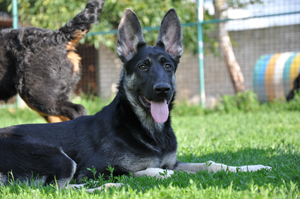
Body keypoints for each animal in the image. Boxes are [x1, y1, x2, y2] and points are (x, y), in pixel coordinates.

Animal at [0, 8, 270, 191]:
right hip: (60, 158)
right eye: (142, 66)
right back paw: (110, 187)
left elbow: (212, 164)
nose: (163, 90)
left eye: (168, 66)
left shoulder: (174, 162)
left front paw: (254, 168)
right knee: (60, 190)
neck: (148, 130)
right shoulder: (98, 170)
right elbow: (147, 171)